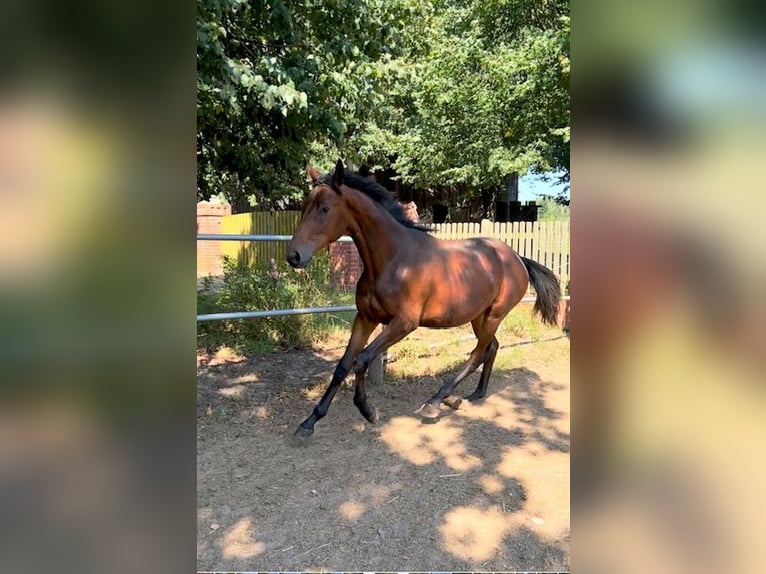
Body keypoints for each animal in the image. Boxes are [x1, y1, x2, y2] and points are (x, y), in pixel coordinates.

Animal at [288, 160, 564, 438]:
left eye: (324, 208)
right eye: (304, 206)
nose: (294, 256)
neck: (394, 259)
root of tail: (516, 258)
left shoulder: (403, 324)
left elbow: (362, 359)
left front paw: (368, 411)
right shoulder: (366, 318)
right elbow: (343, 365)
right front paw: (309, 422)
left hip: (495, 315)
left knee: (477, 354)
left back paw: (435, 403)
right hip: (479, 316)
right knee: (491, 348)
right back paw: (476, 394)